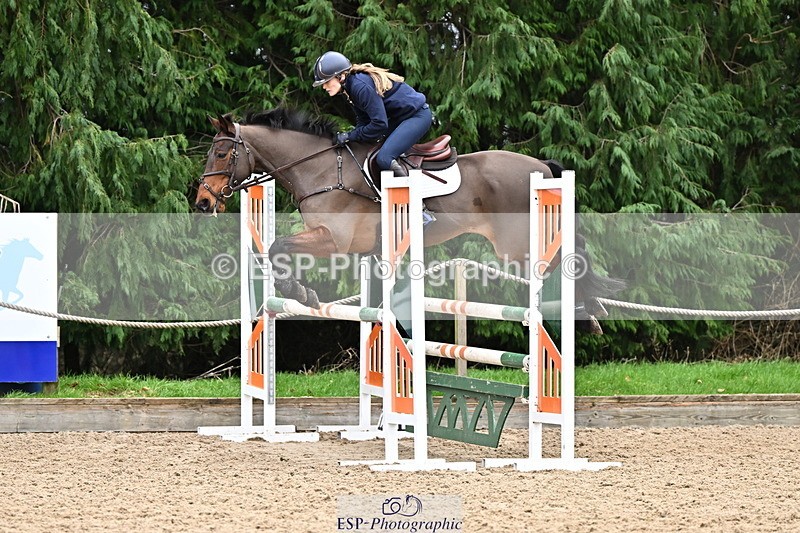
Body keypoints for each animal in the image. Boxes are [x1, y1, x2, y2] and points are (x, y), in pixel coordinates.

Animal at [195, 109, 623, 332]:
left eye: (221, 154)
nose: (202, 202)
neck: (320, 169)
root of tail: (541, 166)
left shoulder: (335, 240)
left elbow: (277, 246)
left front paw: (301, 293)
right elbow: (274, 249)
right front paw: (301, 292)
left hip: (517, 247)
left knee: (566, 257)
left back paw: (589, 312)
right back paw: (592, 309)